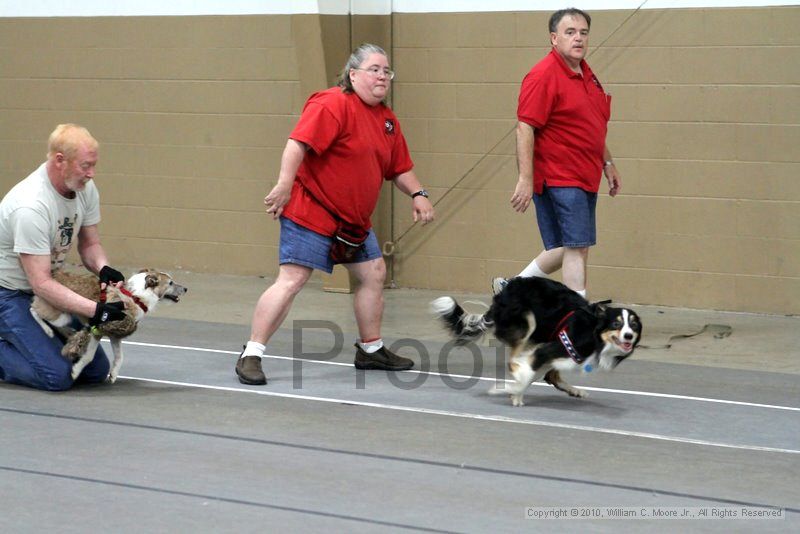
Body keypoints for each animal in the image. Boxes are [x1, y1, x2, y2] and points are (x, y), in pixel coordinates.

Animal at [30, 272, 187, 386]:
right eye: (170, 283)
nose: (186, 288)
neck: (136, 297)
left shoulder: (115, 334)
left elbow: (120, 356)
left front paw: (114, 374)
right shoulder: (97, 330)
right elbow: (89, 356)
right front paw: (76, 371)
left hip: (65, 316)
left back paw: (69, 333)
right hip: (59, 315)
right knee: (33, 309)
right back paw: (48, 330)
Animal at [432, 278, 644, 408]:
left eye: (633, 325)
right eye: (616, 324)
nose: (628, 336)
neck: (594, 333)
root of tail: (503, 292)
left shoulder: (550, 353)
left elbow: (536, 374)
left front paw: (515, 391)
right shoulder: (551, 349)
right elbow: (527, 375)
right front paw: (513, 392)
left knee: (548, 374)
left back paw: (574, 390)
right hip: (527, 321)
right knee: (514, 360)